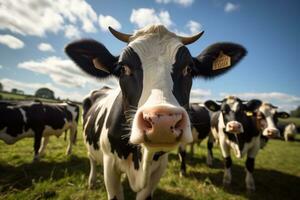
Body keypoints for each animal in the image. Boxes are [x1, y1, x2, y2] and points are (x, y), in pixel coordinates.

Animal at [65, 24, 246, 199]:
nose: (163, 121)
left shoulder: (158, 170)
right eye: (123, 68)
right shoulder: (110, 165)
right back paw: (91, 181)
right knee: (92, 159)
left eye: (189, 69)